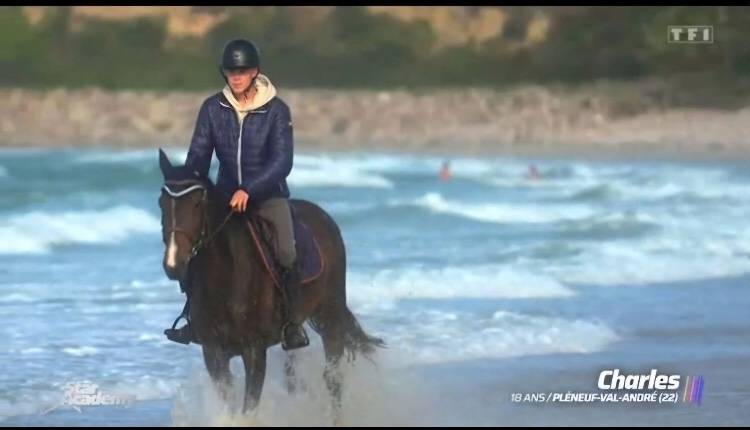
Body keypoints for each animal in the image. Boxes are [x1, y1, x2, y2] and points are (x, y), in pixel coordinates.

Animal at [156, 149, 384, 420]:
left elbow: (249, 407)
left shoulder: (254, 351)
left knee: (333, 379)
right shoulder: (214, 353)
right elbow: (229, 405)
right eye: (161, 203)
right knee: (293, 377)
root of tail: (324, 218)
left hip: (330, 316)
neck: (226, 276)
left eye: (197, 203)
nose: (173, 264)